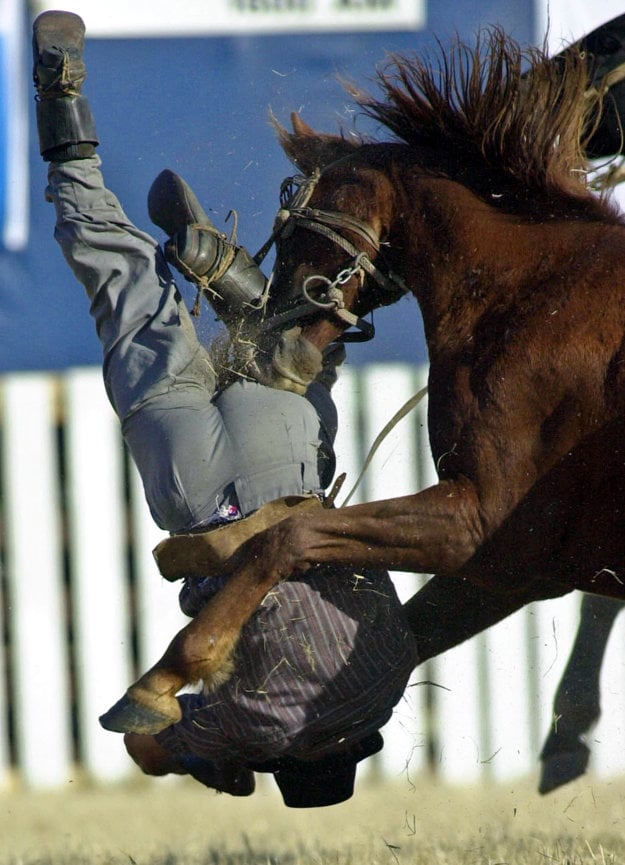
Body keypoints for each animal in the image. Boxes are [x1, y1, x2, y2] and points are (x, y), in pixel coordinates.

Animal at [106, 27, 624, 732]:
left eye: (294, 226)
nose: (270, 343)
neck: (537, 295)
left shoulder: (485, 525)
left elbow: (289, 536)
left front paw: (171, 673)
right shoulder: (519, 568)